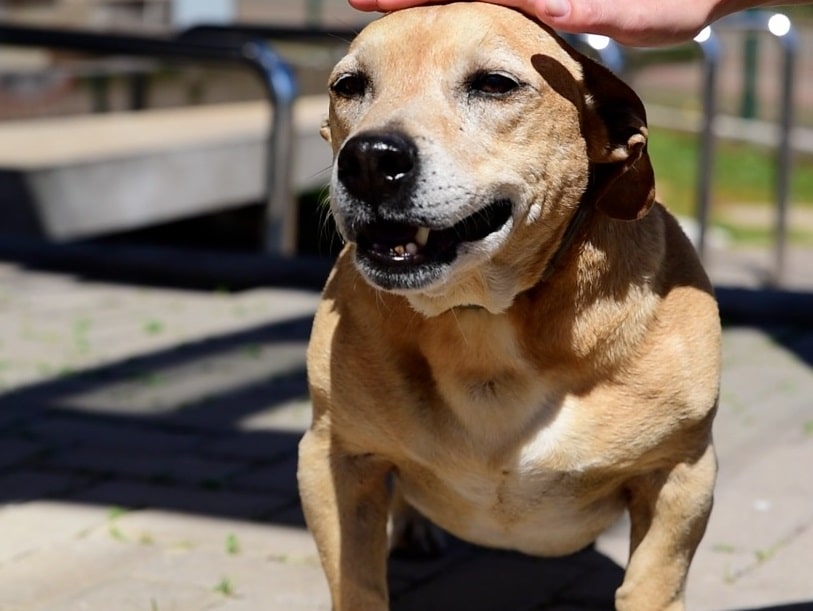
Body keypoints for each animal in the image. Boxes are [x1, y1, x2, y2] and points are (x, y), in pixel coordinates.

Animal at [296, 2, 716, 608]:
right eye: (348, 85)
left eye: (495, 84)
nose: (370, 159)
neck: (482, 320)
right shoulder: (336, 458)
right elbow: (357, 582)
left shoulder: (679, 475)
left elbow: (650, 585)